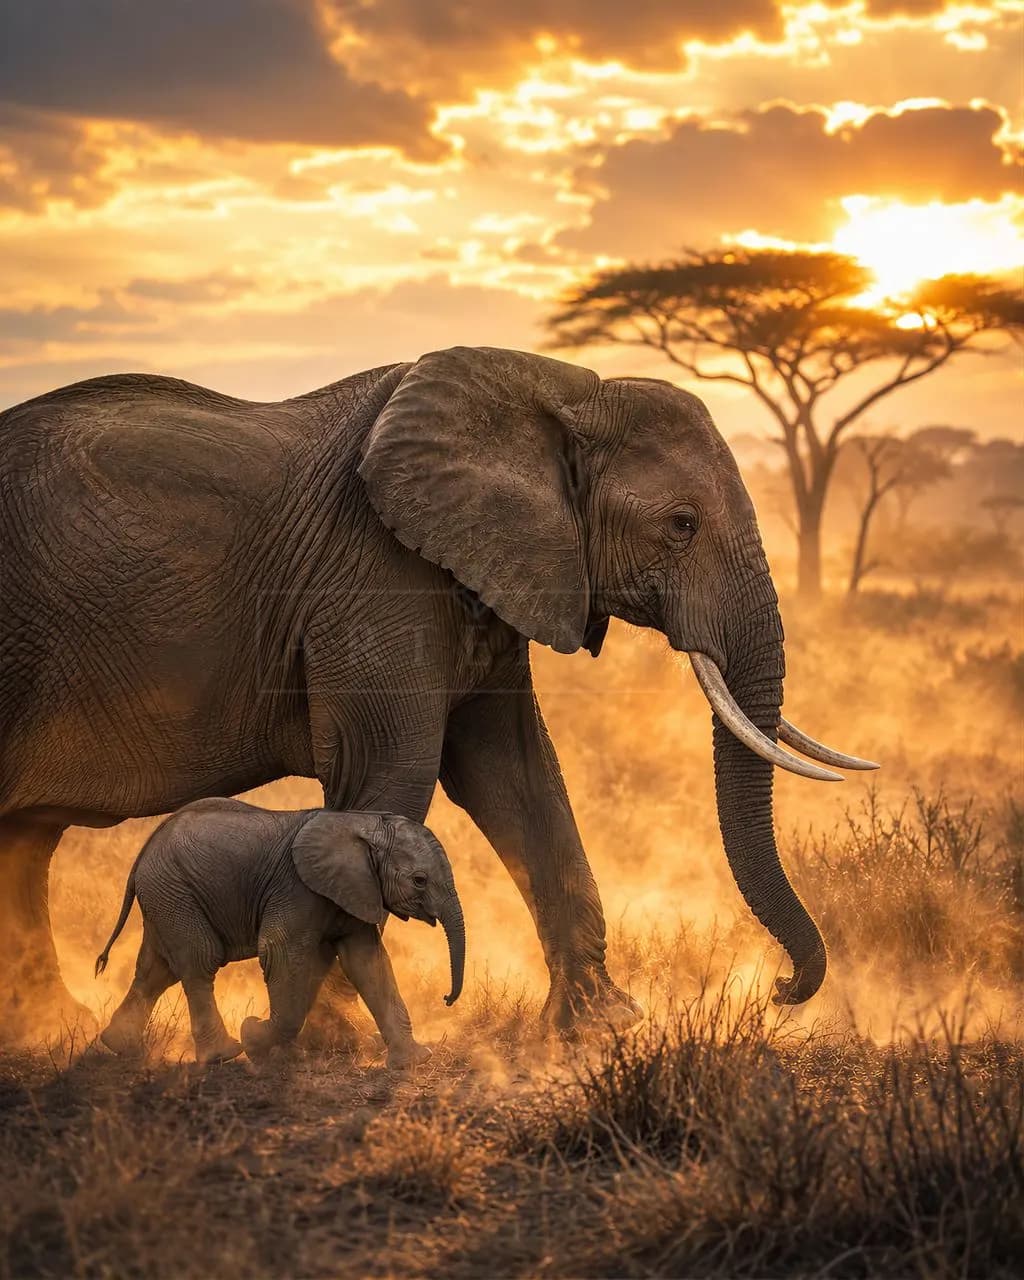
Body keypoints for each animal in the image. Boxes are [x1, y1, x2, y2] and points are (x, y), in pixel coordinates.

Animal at [95, 799, 461, 1065]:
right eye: (419, 880)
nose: (446, 998)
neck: (361, 821)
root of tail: (144, 852)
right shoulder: (296, 888)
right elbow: (280, 952)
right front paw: (253, 1035)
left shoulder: (354, 891)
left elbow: (368, 962)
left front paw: (414, 1061)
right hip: (174, 892)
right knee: (200, 961)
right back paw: (223, 1055)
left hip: (165, 896)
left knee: (157, 970)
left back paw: (121, 1047)